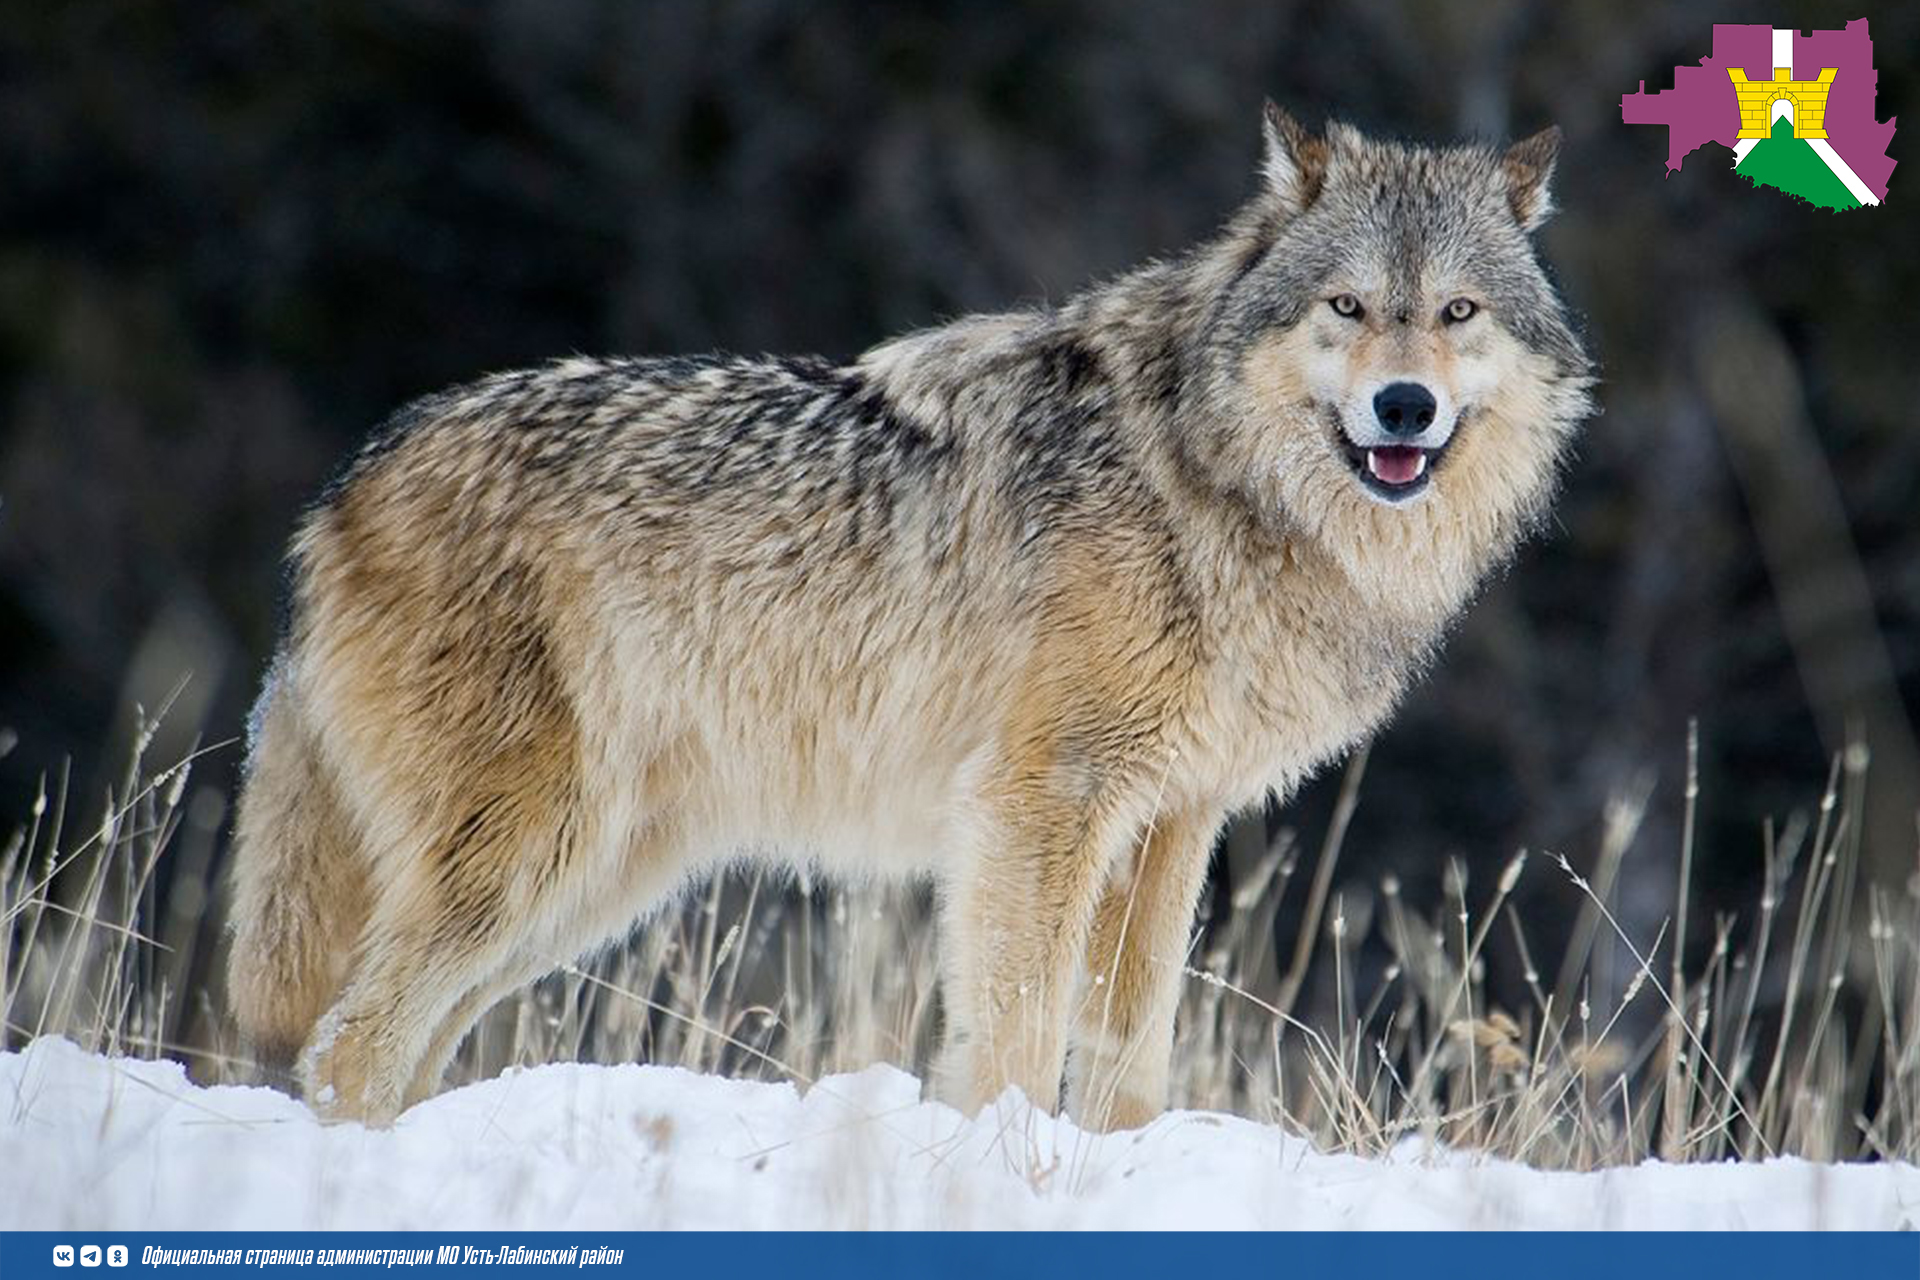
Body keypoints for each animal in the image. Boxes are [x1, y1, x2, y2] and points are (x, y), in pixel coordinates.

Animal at [228, 107, 1589, 1128]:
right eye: (1349, 307)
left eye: (1457, 312)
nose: (1405, 407)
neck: (1210, 482)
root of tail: (343, 484)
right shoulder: (1040, 802)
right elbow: (1017, 1030)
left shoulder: (1172, 821)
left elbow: (1131, 1048)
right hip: (530, 857)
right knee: (348, 1044)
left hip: (589, 881)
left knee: (391, 1045)